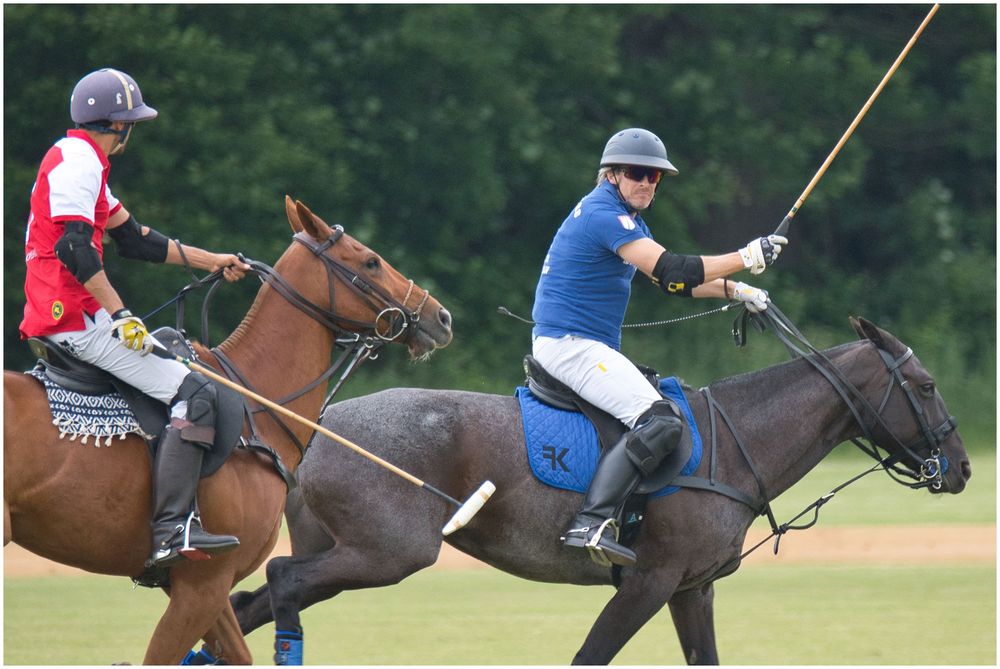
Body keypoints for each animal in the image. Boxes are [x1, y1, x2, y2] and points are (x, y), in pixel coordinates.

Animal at [232, 318, 968, 664]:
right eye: (927, 385)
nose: (960, 468)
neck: (734, 444)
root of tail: (314, 427)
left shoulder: (692, 587)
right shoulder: (650, 579)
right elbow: (590, 654)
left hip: (347, 549)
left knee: (250, 600)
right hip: (389, 551)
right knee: (280, 578)